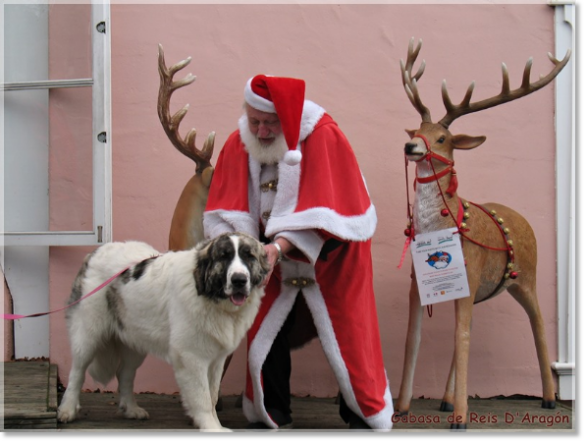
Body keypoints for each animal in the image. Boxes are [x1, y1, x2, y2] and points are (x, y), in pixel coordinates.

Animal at [57, 234, 266, 432]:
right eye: (224, 256)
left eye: (249, 256)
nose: (239, 280)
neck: (210, 297)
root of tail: (95, 252)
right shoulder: (191, 357)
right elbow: (202, 398)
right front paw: (212, 428)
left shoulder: (216, 360)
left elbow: (212, 395)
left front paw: (216, 425)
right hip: (88, 334)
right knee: (77, 372)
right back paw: (67, 410)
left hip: (136, 341)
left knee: (125, 374)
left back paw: (131, 409)